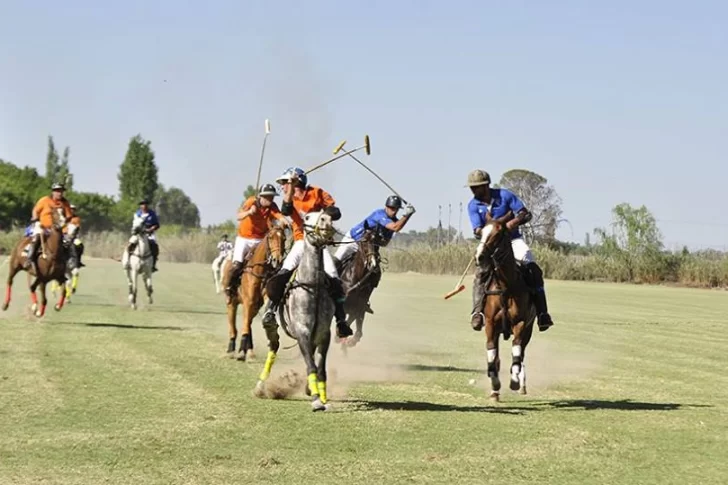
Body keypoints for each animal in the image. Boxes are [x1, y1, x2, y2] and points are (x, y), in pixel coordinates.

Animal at [222, 221, 288, 362]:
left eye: (284, 239)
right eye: (270, 237)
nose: (277, 260)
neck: (260, 271)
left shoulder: (258, 302)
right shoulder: (248, 301)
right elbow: (244, 325)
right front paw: (241, 352)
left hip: (254, 307)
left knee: (248, 324)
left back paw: (250, 351)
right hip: (232, 303)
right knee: (233, 326)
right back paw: (231, 350)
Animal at [255, 210, 336, 410]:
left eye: (328, 214)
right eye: (306, 217)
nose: (326, 222)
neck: (313, 285)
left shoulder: (324, 333)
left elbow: (320, 368)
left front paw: (321, 396)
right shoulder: (302, 331)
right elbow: (311, 365)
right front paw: (316, 400)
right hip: (273, 325)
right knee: (274, 345)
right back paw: (261, 385)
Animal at [474, 212, 536, 400]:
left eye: (498, 234)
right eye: (481, 232)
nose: (479, 257)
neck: (506, 285)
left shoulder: (520, 323)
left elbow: (516, 351)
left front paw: (515, 381)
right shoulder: (491, 324)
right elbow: (491, 353)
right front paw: (495, 385)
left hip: (529, 329)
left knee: (521, 353)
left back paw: (522, 383)